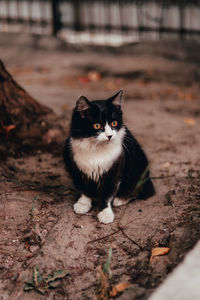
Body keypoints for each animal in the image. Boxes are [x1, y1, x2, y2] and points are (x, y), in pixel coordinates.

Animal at [64, 90, 155, 224]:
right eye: (97, 126)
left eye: (114, 123)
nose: (110, 135)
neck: (96, 148)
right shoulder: (77, 169)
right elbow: (84, 189)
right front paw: (83, 204)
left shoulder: (114, 171)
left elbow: (107, 194)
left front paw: (105, 213)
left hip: (139, 167)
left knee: (141, 190)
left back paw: (120, 199)